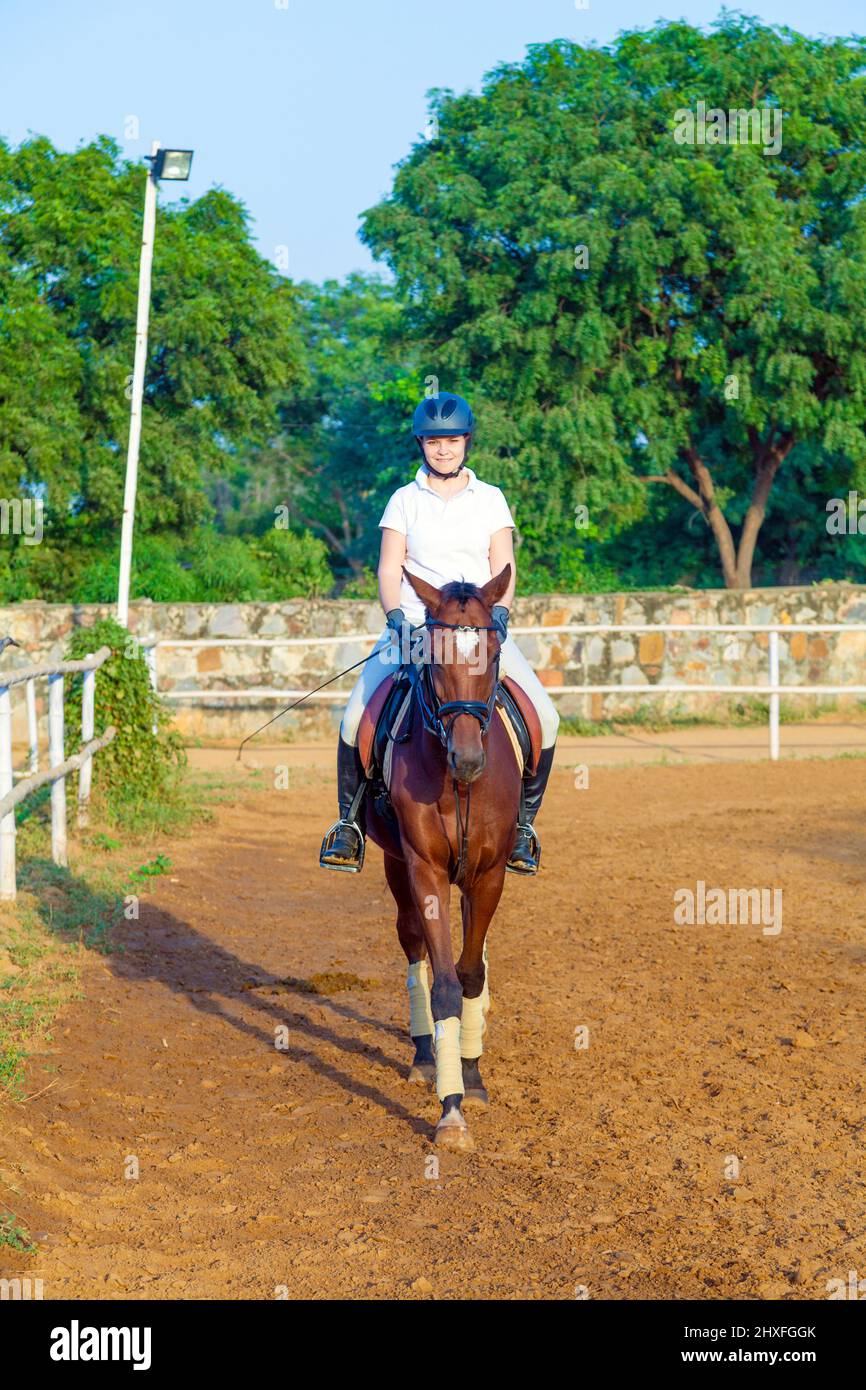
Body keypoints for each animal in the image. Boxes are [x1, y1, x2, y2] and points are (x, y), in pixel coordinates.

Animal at [364, 563, 522, 1150]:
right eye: (432, 657)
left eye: (493, 653)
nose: (468, 759)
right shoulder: (425, 868)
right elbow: (447, 984)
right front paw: (450, 1109)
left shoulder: (489, 874)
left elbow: (471, 973)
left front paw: (472, 1079)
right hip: (395, 864)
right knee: (414, 947)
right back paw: (424, 1054)